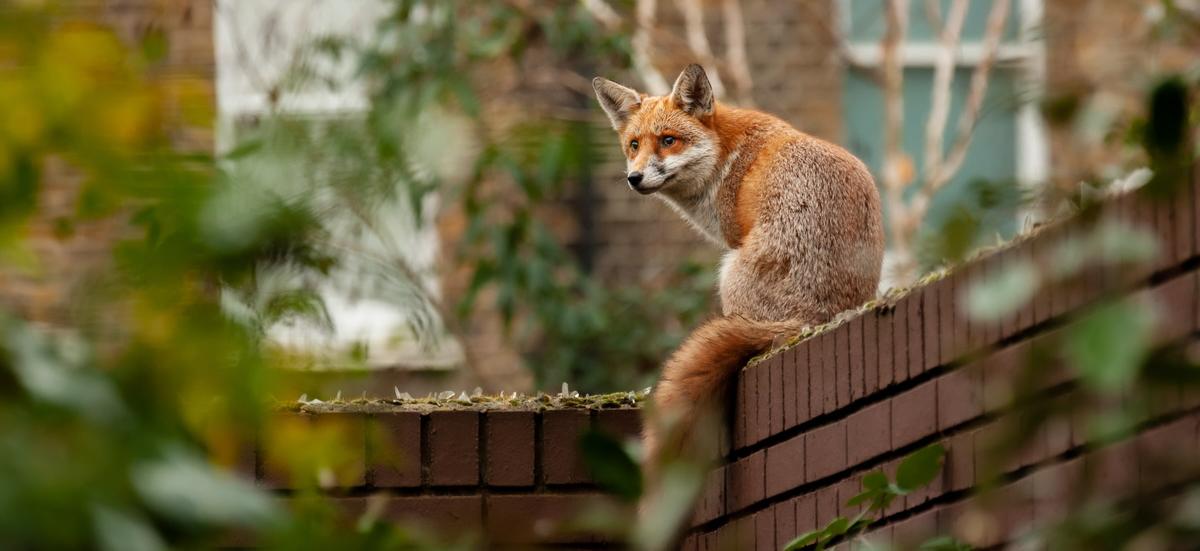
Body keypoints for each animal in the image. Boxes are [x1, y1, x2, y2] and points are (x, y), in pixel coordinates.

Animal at [590, 64, 883, 482]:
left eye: (668, 141)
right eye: (633, 145)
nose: (634, 178)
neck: (725, 158)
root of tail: (815, 319)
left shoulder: (732, 237)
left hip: (727, 273)